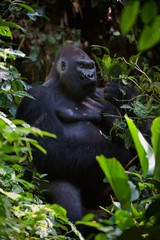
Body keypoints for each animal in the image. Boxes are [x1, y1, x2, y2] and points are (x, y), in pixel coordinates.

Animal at [15, 45, 134, 231]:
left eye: (91, 66)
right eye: (82, 66)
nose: (91, 75)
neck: (62, 88)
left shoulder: (99, 94)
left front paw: (124, 93)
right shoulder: (35, 97)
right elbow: (47, 149)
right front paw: (121, 154)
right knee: (68, 202)